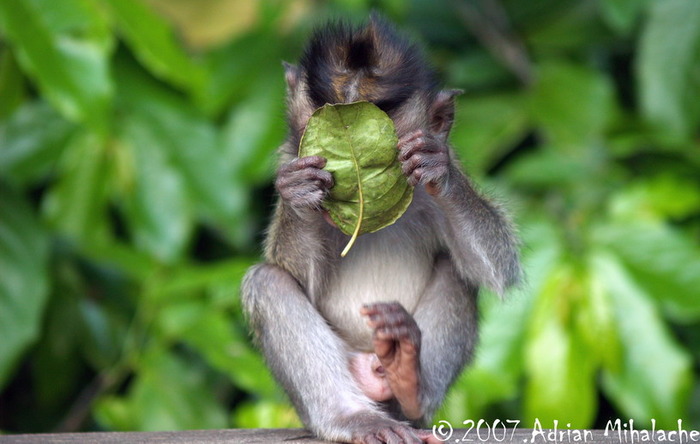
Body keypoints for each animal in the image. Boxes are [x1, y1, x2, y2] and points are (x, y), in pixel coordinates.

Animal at [241, 13, 520, 444]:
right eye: (319, 126)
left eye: (382, 129)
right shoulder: (288, 158)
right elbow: (298, 277)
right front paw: (299, 192)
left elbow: (498, 268)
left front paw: (439, 172)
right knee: (267, 282)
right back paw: (354, 417)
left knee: (457, 271)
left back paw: (408, 378)